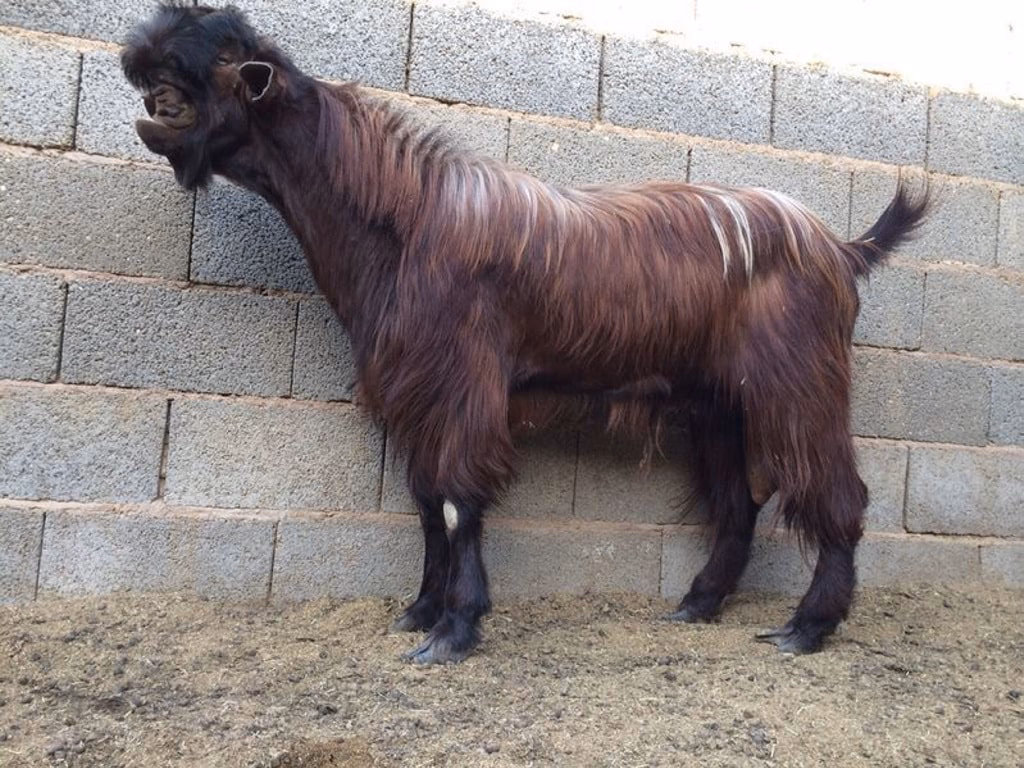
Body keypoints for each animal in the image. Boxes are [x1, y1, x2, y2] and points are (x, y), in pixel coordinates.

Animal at [122, 3, 929, 663]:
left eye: (210, 71)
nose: (149, 96)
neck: (404, 218)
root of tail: (840, 247)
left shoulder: (464, 379)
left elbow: (458, 500)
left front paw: (455, 630)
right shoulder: (418, 388)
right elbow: (425, 502)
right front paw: (420, 611)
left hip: (800, 381)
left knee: (838, 491)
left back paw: (807, 627)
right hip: (718, 402)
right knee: (739, 502)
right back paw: (696, 606)